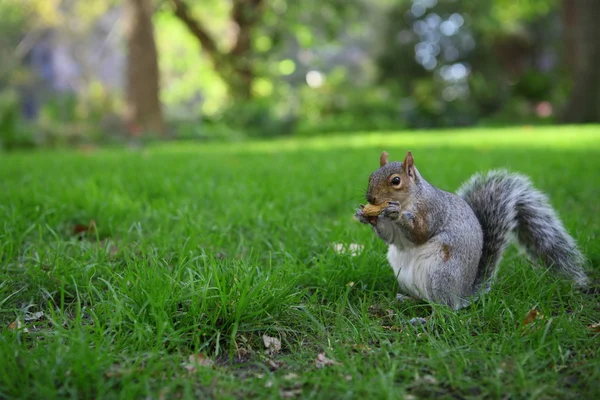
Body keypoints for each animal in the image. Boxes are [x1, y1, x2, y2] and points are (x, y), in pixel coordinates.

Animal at [354, 150, 588, 310]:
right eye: (371, 176)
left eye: (396, 180)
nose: (371, 198)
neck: (409, 200)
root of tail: (463, 295)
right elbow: (391, 237)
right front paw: (365, 215)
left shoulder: (432, 210)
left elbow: (420, 233)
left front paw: (396, 214)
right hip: (406, 276)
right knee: (426, 300)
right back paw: (408, 299)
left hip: (441, 274)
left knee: (445, 308)